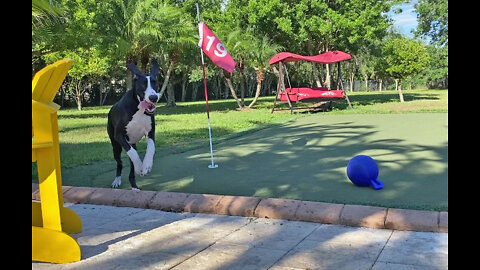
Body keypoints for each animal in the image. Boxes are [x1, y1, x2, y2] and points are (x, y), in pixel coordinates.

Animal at [107, 59, 161, 190]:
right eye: (143, 84)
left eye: (155, 83)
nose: (153, 97)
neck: (139, 109)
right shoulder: (119, 135)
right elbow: (132, 153)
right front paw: (139, 166)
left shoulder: (150, 132)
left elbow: (151, 148)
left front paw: (146, 165)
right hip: (116, 146)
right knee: (120, 162)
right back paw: (117, 180)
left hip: (132, 142)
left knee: (131, 168)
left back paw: (134, 186)